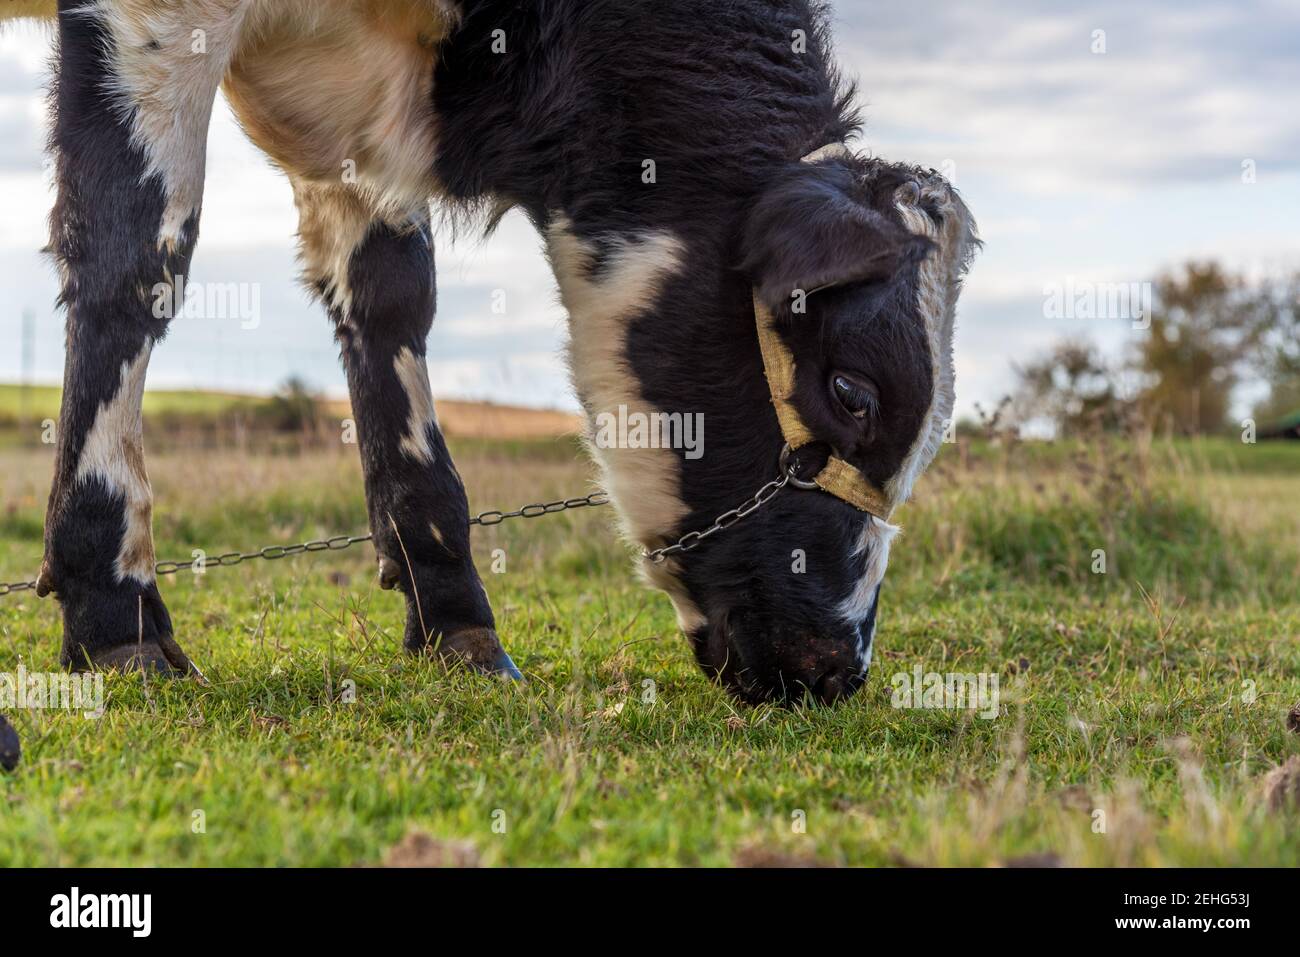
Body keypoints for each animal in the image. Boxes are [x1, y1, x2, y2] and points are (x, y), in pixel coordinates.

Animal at [0, 0, 977, 769]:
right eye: (851, 391)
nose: (836, 665)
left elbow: (391, 295)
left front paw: (454, 612)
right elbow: (136, 249)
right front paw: (113, 610)